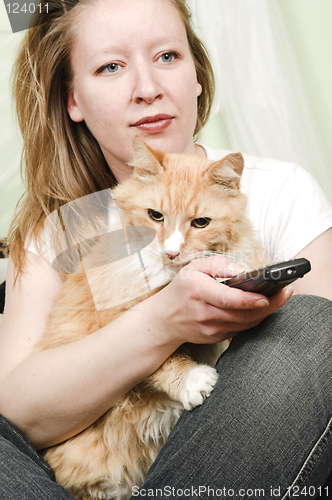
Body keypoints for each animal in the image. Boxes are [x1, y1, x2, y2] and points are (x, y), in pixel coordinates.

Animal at [36, 138, 264, 500]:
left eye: (201, 223)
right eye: (155, 216)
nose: (171, 252)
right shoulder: (117, 324)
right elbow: (163, 359)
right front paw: (193, 380)